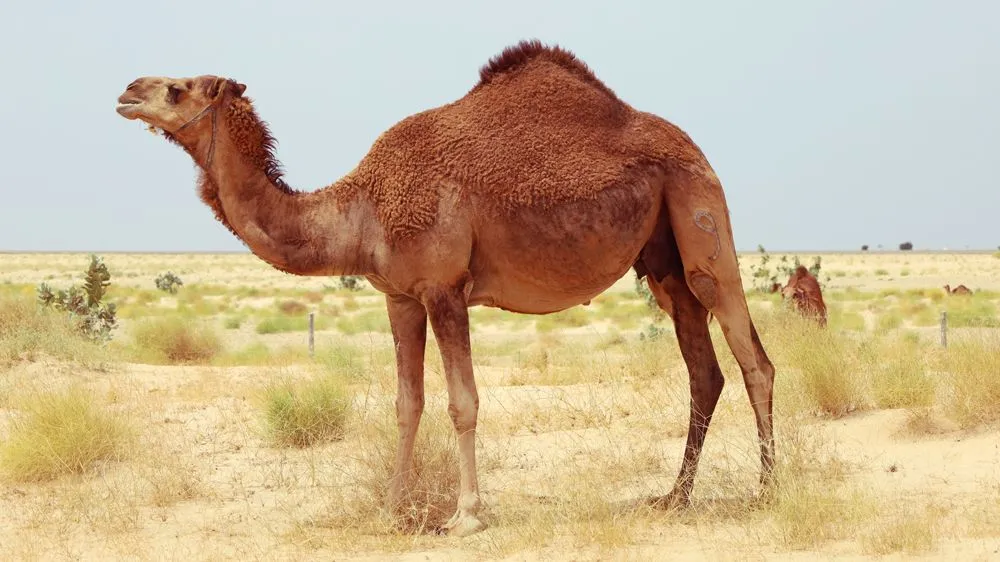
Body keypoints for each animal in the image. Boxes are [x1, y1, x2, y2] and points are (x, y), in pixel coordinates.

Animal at [114, 39, 776, 537]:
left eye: (179, 88)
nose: (127, 91)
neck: (361, 208)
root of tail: (693, 149)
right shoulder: (399, 295)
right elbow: (407, 404)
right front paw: (391, 510)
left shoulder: (444, 288)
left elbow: (463, 403)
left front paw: (467, 516)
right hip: (661, 262)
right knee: (703, 371)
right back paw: (675, 498)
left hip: (700, 213)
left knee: (752, 357)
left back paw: (768, 489)